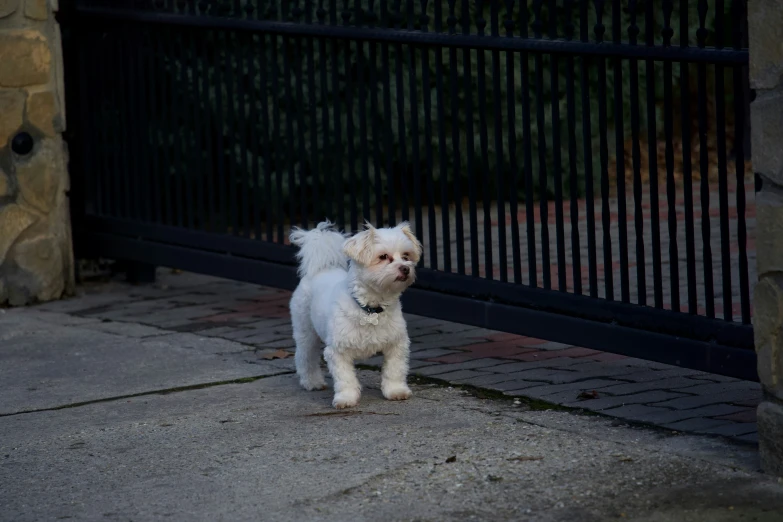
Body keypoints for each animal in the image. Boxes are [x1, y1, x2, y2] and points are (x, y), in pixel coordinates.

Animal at [290, 219, 422, 406]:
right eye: (383, 257)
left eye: (406, 256)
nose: (405, 268)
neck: (371, 308)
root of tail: (322, 269)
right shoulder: (338, 351)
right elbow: (345, 378)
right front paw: (346, 398)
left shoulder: (396, 344)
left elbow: (394, 370)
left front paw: (396, 391)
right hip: (306, 332)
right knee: (305, 357)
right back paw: (312, 382)